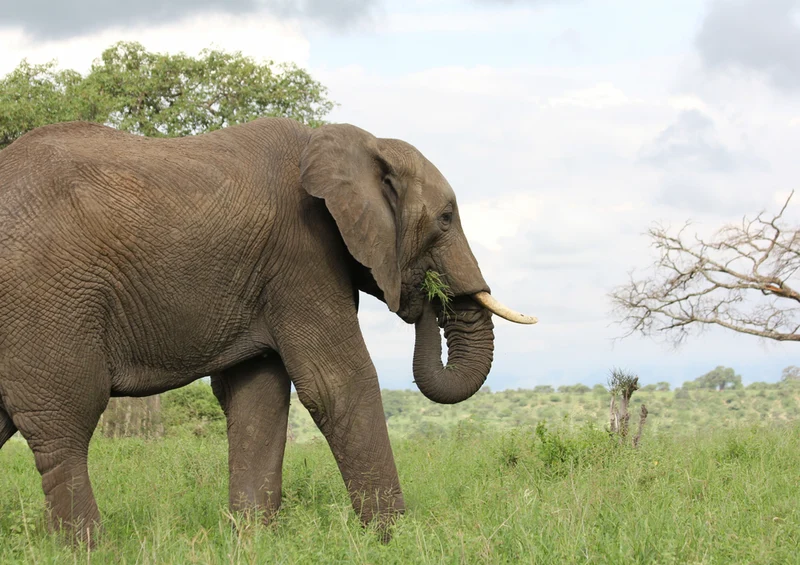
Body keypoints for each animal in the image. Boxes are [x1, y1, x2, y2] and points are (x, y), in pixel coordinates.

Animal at [0, 117, 535, 542]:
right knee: (66, 422)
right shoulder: (303, 255)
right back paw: (89, 548)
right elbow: (337, 384)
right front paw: (395, 542)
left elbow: (257, 397)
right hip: (45, 299)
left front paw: (252, 541)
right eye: (446, 219)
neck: (356, 142)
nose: (427, 296)